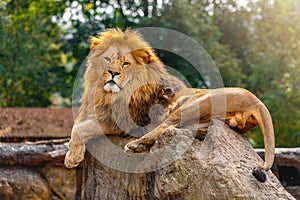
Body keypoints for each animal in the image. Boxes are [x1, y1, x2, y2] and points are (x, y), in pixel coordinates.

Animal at [65, 28, 274, 183]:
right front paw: (73, 153)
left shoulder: (122, 122)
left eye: (125, 64)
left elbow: (80, 129)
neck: (107, 94)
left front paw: (72, 157)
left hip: (196, 103)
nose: (112, 73)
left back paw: (136, 145)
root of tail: (257, 102)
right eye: (107, 59)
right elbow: (76, 127)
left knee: (167, 125)